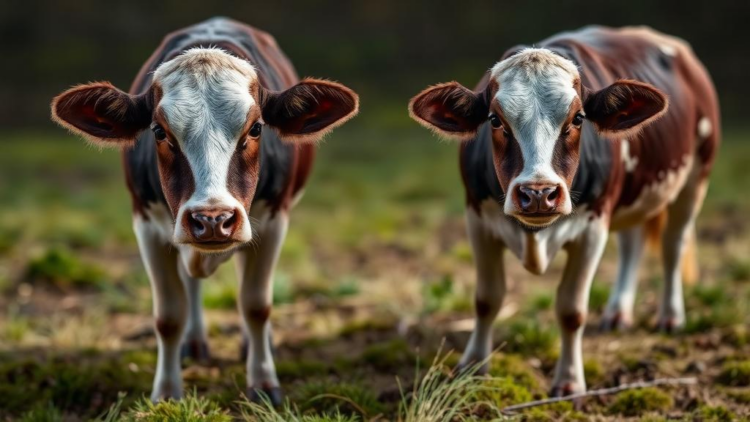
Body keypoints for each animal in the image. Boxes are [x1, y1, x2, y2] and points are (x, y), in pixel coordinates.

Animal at [50, 17, 358, 403]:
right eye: (159, 131)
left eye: (256, 128)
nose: (213, 220)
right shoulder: (147, 225)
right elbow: (169, 315)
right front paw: (167, 392)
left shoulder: (274, 220)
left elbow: (256, 304)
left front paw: (263, 382)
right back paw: (194, 341)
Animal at [408, 26, 719, 395]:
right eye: (495, 120)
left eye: (578, 118)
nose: (538, 193)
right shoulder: (477, 217)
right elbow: (487, 299)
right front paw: (472, 367)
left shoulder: (593, 226)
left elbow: (571, 310)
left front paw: (569, 382)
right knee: (632, 243)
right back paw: (617, 312)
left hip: (695, 177)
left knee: (673, 245)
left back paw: (670, 316)